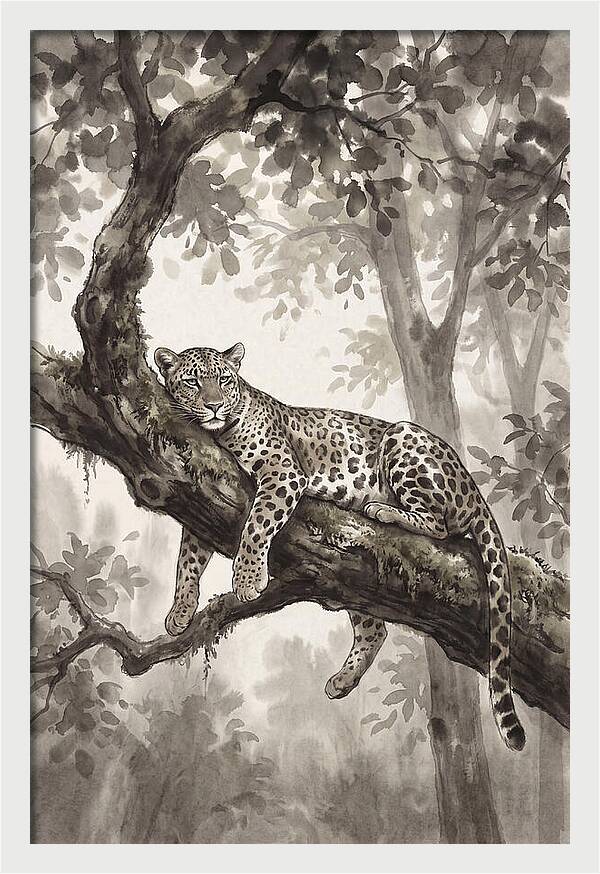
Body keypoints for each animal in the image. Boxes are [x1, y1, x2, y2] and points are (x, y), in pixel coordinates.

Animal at [155, 342, 526, 751]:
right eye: (192, 381)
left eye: (223, 380)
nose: (215, 406)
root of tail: (473, 488)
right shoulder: (205, 491)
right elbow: (188, 558)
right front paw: (180, 611)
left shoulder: (283, 472)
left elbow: (256, 525)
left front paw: (249, 580)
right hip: (353, 582)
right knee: (374, 629)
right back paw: (343, 681)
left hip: (403, 438)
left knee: (439, 525)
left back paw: (383, 509)